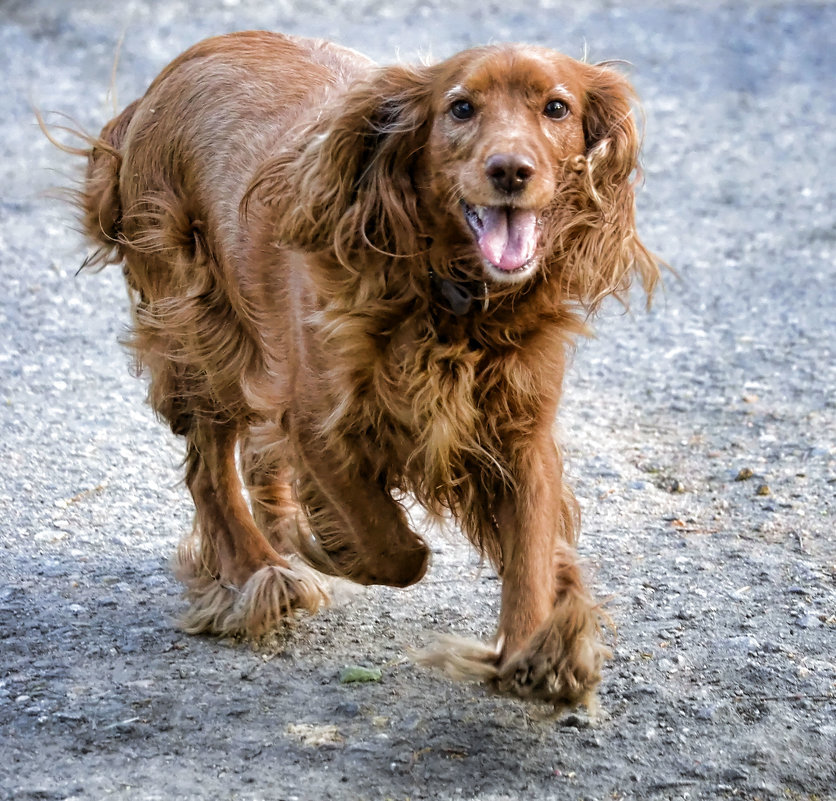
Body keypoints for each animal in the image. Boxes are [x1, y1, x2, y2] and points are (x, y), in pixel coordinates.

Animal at [70, 32, 660, 708]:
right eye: (461, 108)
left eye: (557, 108)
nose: (510, 171)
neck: (451, 302)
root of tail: (160, 82)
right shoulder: (316, 420)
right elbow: (392, 547)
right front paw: (329, 548)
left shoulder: (521, 435)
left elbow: (531, 548)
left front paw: (541, 650)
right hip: (200, 326)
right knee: (210, 471)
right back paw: (259, 572)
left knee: (254, 461)